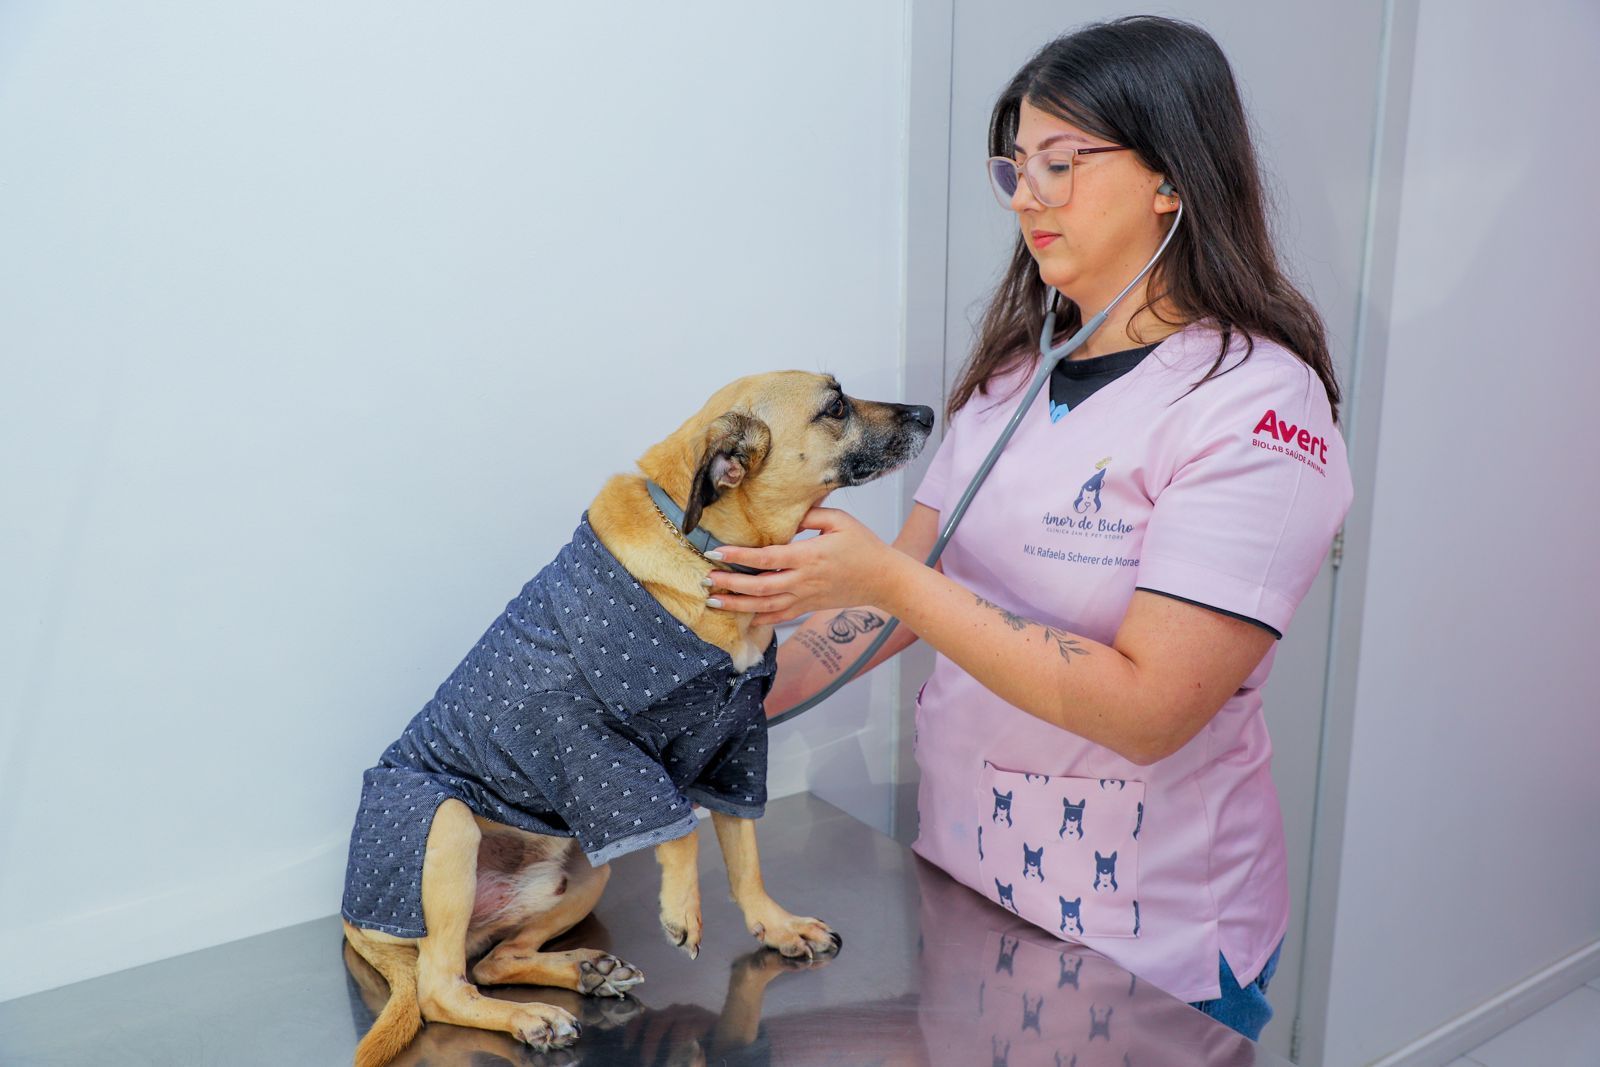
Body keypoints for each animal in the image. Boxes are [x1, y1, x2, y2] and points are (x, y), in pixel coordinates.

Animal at [340, 371, 933, 1065]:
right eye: (835, 406)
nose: (928, 413)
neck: (704, 546)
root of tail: (358, 927)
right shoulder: (598, 750)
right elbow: (680, 833)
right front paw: (684, 912)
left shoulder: (737, 744)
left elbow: (745, 855)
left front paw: (776, 925)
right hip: (450, 828)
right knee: (442, 988)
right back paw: (530, 1017)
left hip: (584, 873)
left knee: (492, 961)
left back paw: (584, 972)